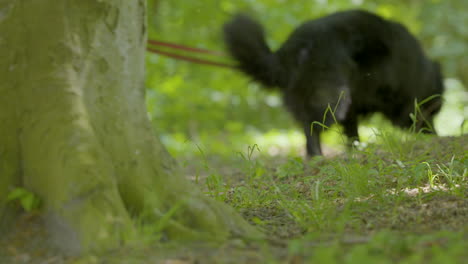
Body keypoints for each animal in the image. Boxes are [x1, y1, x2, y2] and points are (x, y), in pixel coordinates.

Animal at [223, 9, 442, 156]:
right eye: (433, 111)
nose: (435, 135)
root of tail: (293, 46)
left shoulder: (354, 108)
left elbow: (352, 132)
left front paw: (355, 150)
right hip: (333, 100)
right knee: (312, 128)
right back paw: (317, 157)